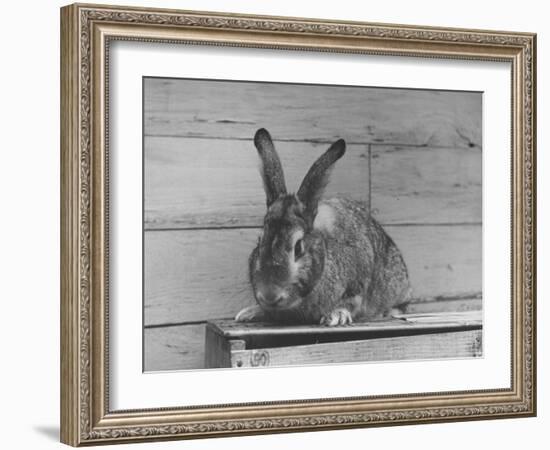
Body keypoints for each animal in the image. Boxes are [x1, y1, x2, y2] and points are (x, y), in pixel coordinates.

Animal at [235, 128, 412, 326]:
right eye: (259, 243)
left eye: (298, 247)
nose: (269, 295)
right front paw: (250, 312)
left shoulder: (357, 284)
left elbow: (351, 302)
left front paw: (336, 316)